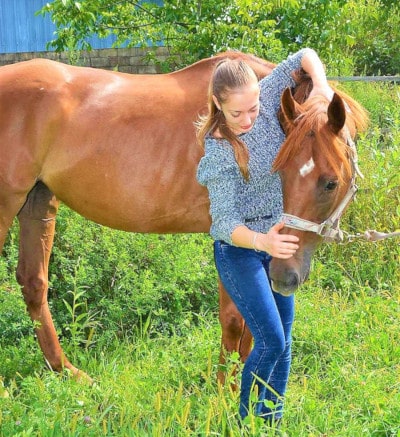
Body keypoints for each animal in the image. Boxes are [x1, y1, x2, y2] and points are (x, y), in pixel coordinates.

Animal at [0, 51, 368, 380]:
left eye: (329, 182)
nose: (285, 277)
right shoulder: (228, 236)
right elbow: (234, 319)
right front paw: (224, 391)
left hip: (38, 202)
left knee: (34, 283)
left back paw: (68, 372)